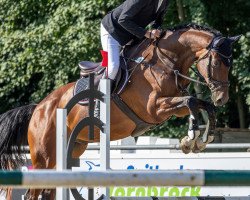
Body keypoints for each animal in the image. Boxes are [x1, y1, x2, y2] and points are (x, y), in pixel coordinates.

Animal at [0, 23, 240, 200]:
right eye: (217, 62)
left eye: (230, 64)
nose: (222, 98)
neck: (165, 62)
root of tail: (38, 108)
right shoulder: (155, 108)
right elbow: (191, 101)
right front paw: (191, 139)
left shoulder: (173, 107)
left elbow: (200, 105)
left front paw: (200, 139)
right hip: (44, 157)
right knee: (33, 192)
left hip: (71, 149)